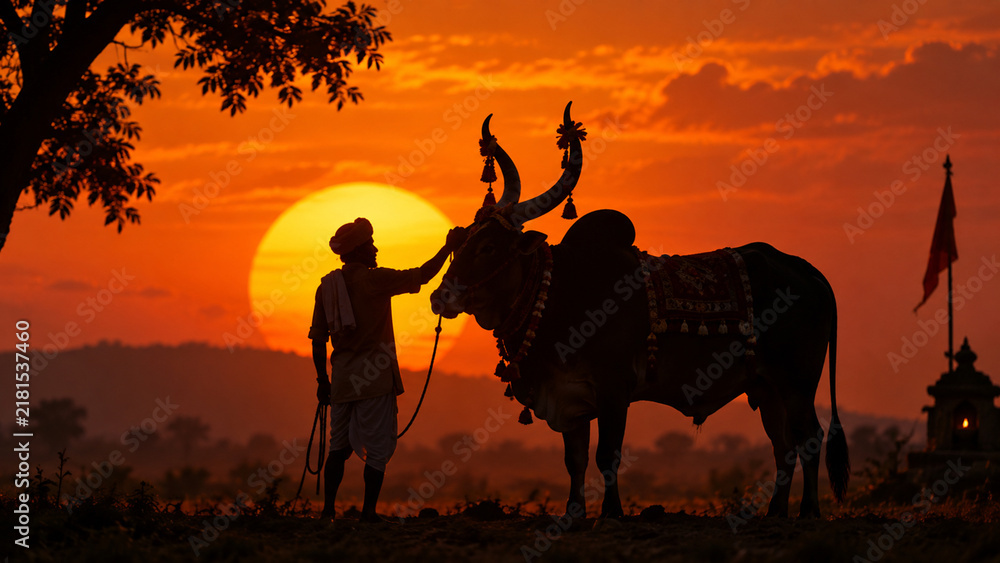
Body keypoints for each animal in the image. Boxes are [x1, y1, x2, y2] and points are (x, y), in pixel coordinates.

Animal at [430, 102, 849, 523]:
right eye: (459, 240)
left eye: (488, 247)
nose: (439, 297)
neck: (559, 293)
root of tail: (805, 270)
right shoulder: (570, 398)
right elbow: (575, 460)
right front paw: (573, 514)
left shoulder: (614, 388)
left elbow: (607, 456)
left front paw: (610, 514)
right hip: (767, 387)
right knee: (784, 447)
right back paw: (774, 513)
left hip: (797, 381)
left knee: (810, 438)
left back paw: (808, 511)